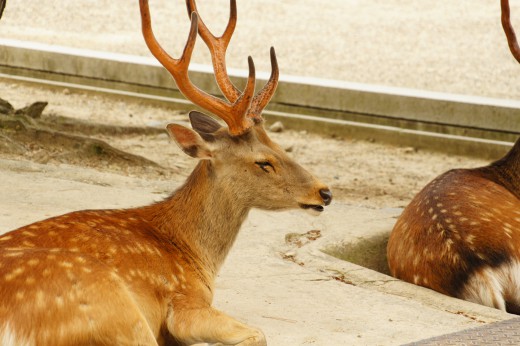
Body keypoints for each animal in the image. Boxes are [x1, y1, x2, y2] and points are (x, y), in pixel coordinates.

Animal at [0, 1, 334, 344]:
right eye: (263, 162)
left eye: (279, 145)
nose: (324, 191)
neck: (194, 255)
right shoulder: (184, 301)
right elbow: (257, 333)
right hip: (114, 308)